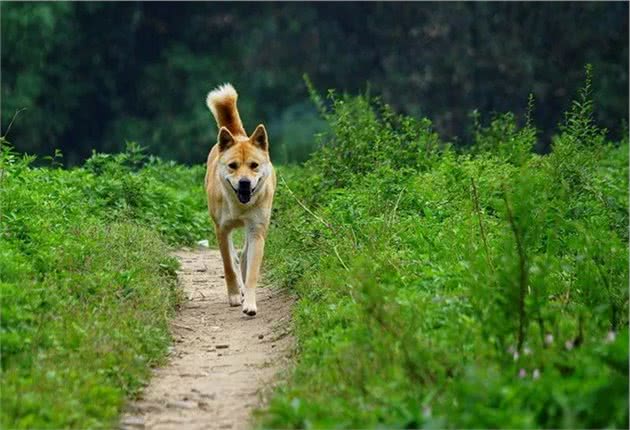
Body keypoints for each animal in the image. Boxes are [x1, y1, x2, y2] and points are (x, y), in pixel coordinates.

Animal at [205, 84, 276, 316]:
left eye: (254, 165)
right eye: (233, 166)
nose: (244, 183)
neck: (239, 205)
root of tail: (237, 135)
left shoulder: (256, 229)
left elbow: (252, 270)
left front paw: (250, 303)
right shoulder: (221, 229)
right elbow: (228, 264)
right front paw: (235, 295)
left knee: (244, 256)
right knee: (234, 258)